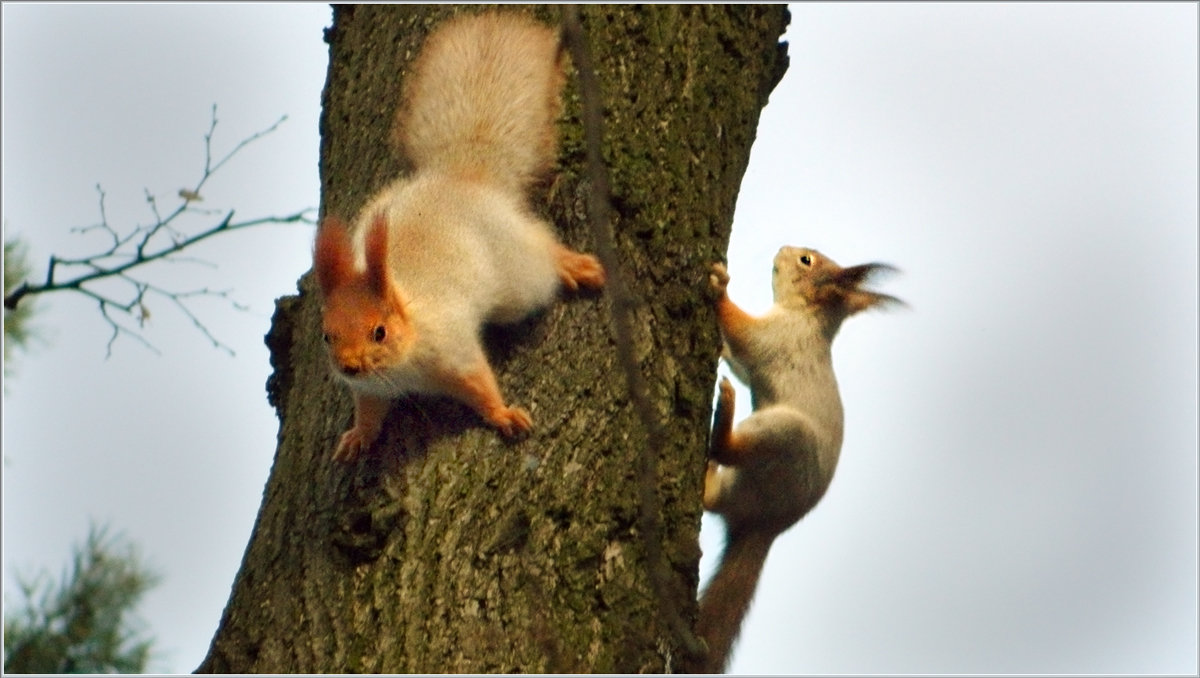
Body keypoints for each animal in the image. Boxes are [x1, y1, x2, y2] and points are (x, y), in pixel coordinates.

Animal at [314, 13, 604, 463]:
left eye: (379, 332)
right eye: (327, 335)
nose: (349, 366)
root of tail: (465, 176)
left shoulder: (453, 352)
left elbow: (479, 385)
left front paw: (503, 413)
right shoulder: (370, 388)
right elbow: (369, 410)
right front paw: (359, 435)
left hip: (517, 274)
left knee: (540, 252)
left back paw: (571, 265)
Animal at [691, 247, 897, 672]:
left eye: (806, 261)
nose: (782, 249)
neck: (806, 316)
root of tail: (768, 524)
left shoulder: (777, 339)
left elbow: (744, 333)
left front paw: (720, 288)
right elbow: (740, 363)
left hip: (786, 438)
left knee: (728, 452)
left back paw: (725, 416)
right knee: (716, 497)